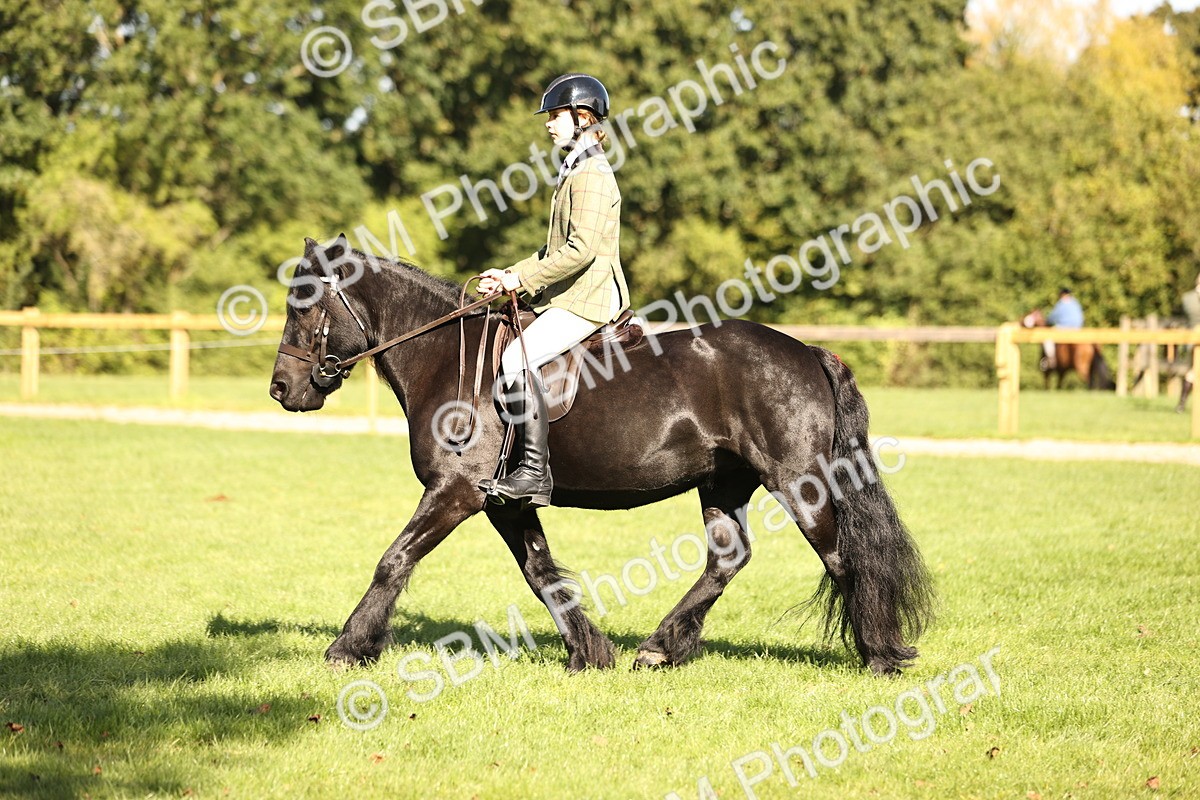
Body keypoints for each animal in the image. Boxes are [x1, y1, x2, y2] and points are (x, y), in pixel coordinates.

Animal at [268, 236, 934, 676]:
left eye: (306, 304)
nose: (281, 389)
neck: (445, 360)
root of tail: (809, 352)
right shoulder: (504, 503)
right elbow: (541, 575)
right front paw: (589, 653)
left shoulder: (455, 492)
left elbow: (394, 561)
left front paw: (347, 648)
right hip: (724, 484)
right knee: (728, 560)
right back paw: (660, 648)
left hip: (800, 481)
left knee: (841, 557)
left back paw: (880, 657)